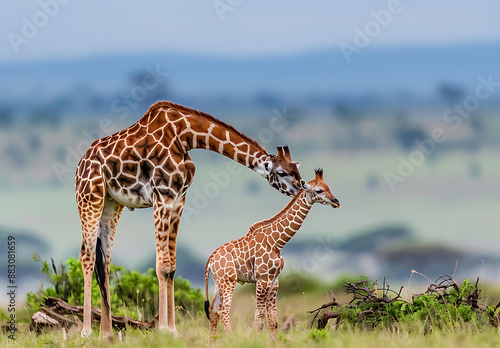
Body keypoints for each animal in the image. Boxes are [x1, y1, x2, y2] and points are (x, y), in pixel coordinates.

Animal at [74, 100, 300, 338]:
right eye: (283, 172)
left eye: (297, 168)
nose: (302, 187)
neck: (184, 135)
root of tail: (81, 163)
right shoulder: (162, 196)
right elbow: (162, 265)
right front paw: (164, 330)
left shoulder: (178, 200)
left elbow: (172, 267)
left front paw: (173, 330)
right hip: (89, 197)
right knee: (87, 256)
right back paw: (87, 331)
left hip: (112, 204)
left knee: (104, 261)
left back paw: (107, 333)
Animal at [203, 169, 340, 340]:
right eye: (319, 190)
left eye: (328, 187)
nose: (336, 202)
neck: (277, 242)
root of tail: (210, 259)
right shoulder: (262, 279)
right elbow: (259, 318)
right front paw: (257, 341)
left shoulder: (274, 282)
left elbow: (273, 319)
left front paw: (274, 342)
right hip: (228, 281)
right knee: (223, 311)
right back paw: (232, 339)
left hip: (219, 282)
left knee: (213, 310)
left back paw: (213, 342)